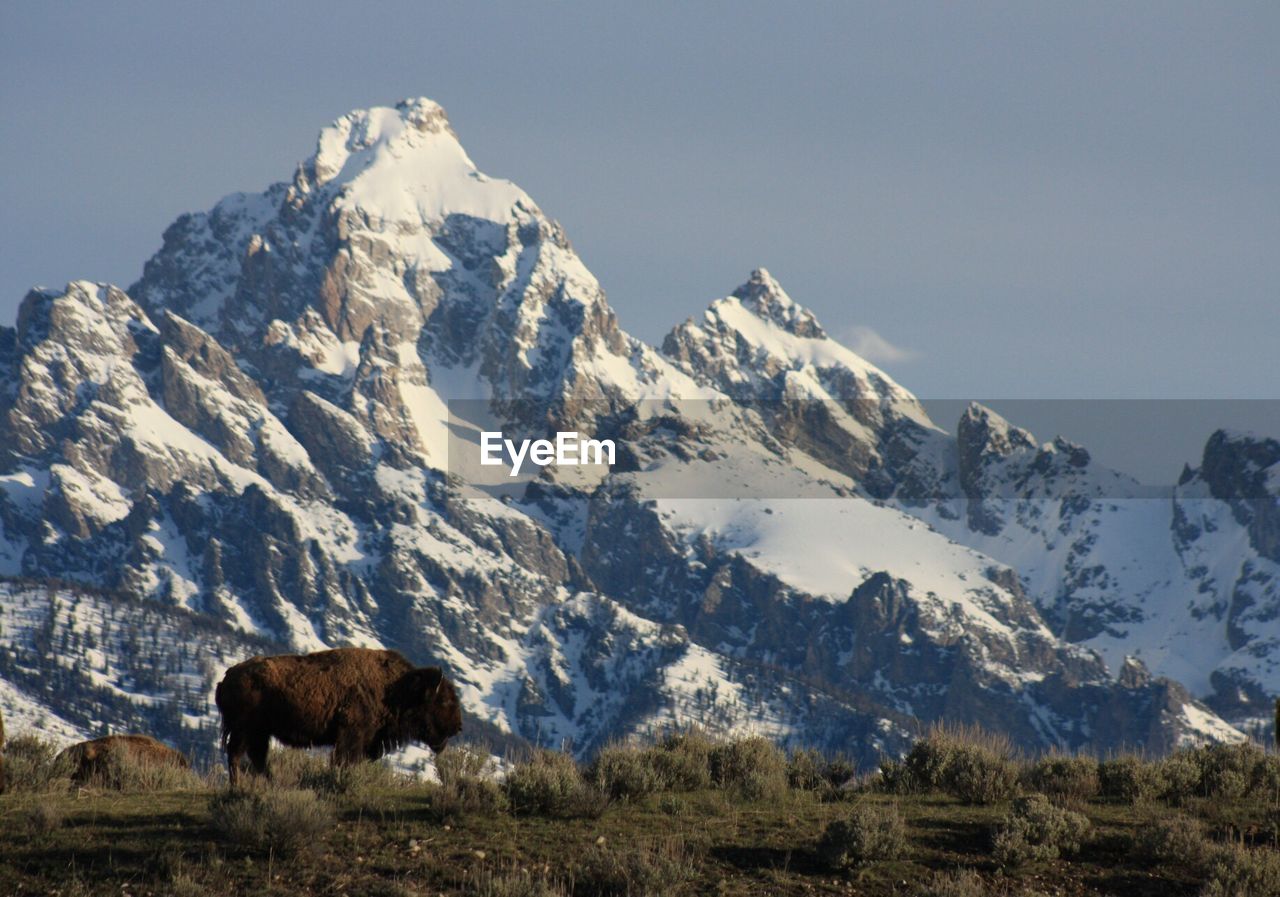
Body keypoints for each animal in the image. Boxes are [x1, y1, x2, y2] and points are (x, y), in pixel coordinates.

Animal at [213, 644, 460, 783]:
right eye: (444, 700)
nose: (458, 727)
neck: (394, 688)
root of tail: (227, 677)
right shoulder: (351, 735)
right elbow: (343, 761)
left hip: (259, 733)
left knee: (257, 759)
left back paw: (271, 783)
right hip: (244, 730)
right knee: (236, 756)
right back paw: (238, 787)